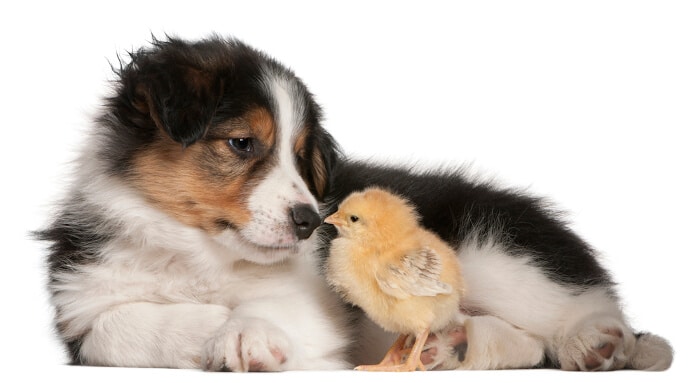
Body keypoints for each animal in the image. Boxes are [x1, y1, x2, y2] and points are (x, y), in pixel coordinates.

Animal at [38, 36, 672, 372]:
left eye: (301, 157)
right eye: (242, 143)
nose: (309, 223)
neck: (197, 252)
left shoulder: (317, 300)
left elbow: (274, 307)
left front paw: (244, 333)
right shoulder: (80, 309)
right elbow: (120, 325)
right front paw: (212, 327)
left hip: (492, 252)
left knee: (572, 308)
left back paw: (599, 344)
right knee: (527, 343)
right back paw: (451, 346)